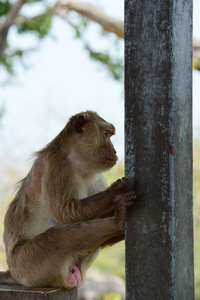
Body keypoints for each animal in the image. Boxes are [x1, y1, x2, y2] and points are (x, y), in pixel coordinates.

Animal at [0, 111, 135, 290]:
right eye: (106, 134)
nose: (114, 151)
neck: (80, 164)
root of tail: (13, 273)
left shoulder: (97, 178)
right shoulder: (59, 166)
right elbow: (65, 212)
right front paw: (115, 192)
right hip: (27, 264)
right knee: (55, 238)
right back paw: (117, 222)